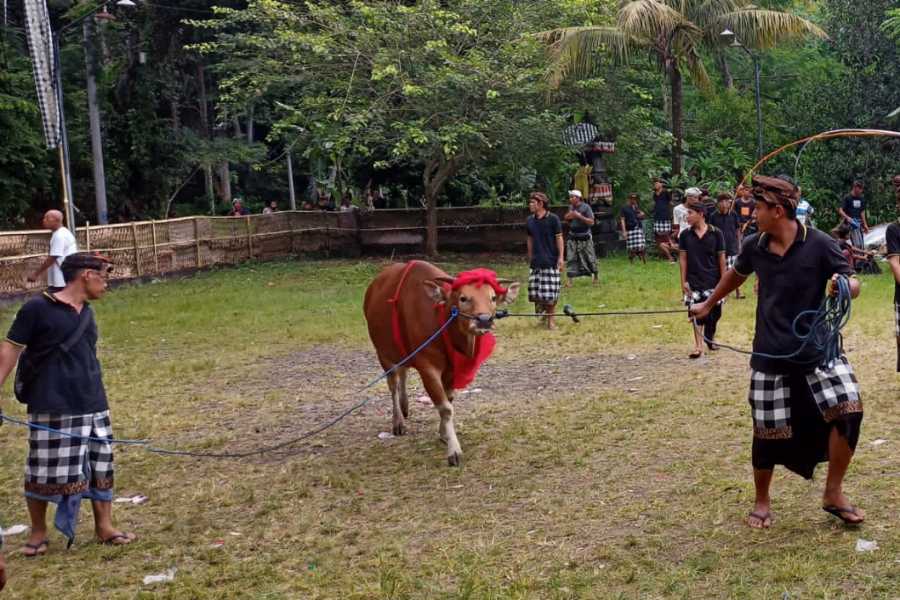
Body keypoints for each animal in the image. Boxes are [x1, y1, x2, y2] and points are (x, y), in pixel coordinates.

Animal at [364, 260, 520, 466]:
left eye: (493, 297)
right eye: (463, 298)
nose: (484, 320)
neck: (441, 325)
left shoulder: (452, 370)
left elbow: (449, 400)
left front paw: (443, 433)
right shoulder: (428, 368)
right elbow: (445, 408)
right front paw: (453, 450)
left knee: (403, 373)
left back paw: (405, 407)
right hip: (383, 353)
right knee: (393, 384)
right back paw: (398, 421)